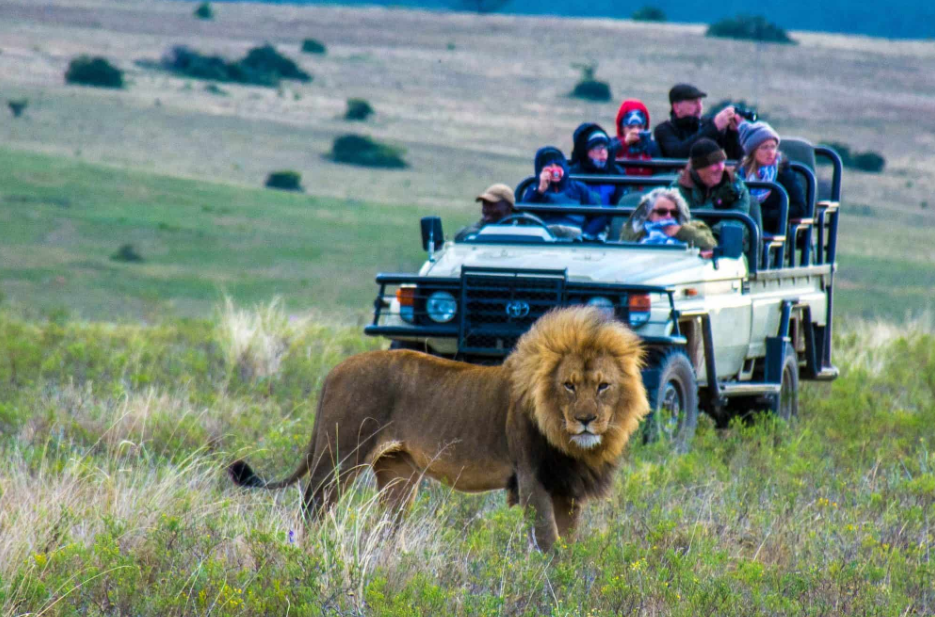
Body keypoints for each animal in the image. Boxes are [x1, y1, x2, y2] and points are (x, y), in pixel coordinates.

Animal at [228, 306, 649, 550]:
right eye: (569, 385)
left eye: (603, 386)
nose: (586, 419)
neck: (568, 440)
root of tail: (335, 369)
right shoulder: (533, 480)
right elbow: (549, 546)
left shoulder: (568, 487)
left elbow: (571, 547)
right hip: (339, 457)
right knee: (311, 512)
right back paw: (306, 557)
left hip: (398, 474)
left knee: (384, 528)